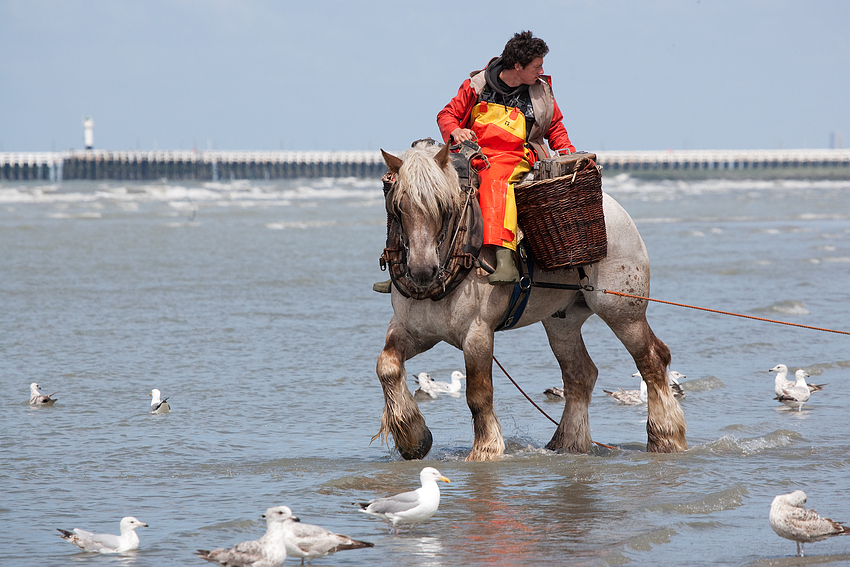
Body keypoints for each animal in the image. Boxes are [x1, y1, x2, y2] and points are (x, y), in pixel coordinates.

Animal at [374, 141, 684, 462]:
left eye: (444, 207)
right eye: (398, 207)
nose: (422, 271)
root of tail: (614, 211)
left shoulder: (477, 334)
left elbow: (478, 393)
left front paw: (485, 449)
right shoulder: (413, 330)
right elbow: (387, 367)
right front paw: (413, 436)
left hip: (621, 311)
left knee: (652, 359)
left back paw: (665, 436)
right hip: (562, 322)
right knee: (580, 374)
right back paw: (568, 442)